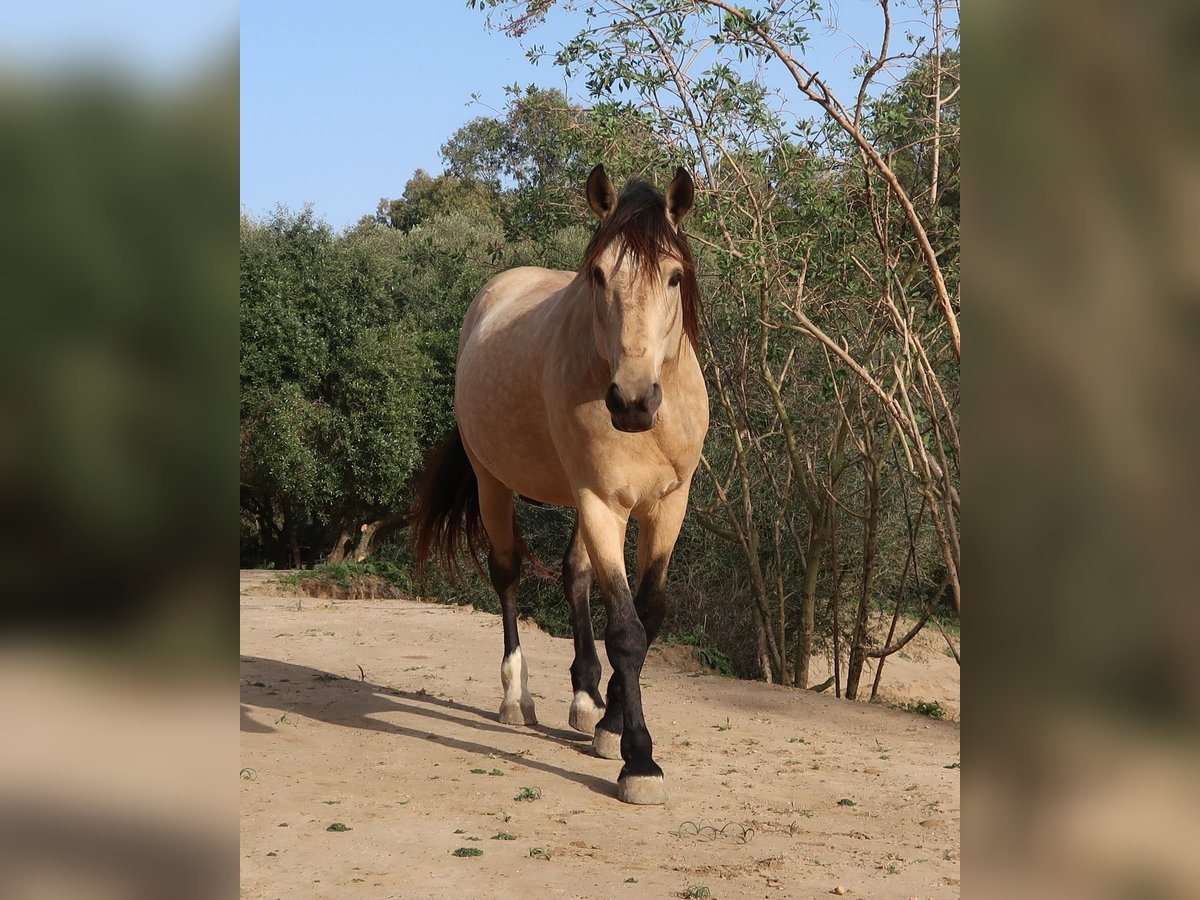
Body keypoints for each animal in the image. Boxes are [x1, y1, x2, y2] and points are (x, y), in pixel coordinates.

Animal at [415, 165, 705, 806]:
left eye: (674, 276)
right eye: (598, 274)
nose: (632, 401)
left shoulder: (666, 507)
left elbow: (647, 615)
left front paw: (611, 722)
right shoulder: (602, 503)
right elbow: (626, 630)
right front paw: (639, 760)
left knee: (575, 575)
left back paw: (586, 698)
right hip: (493, 484)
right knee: (507, 577)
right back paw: (515, 698)